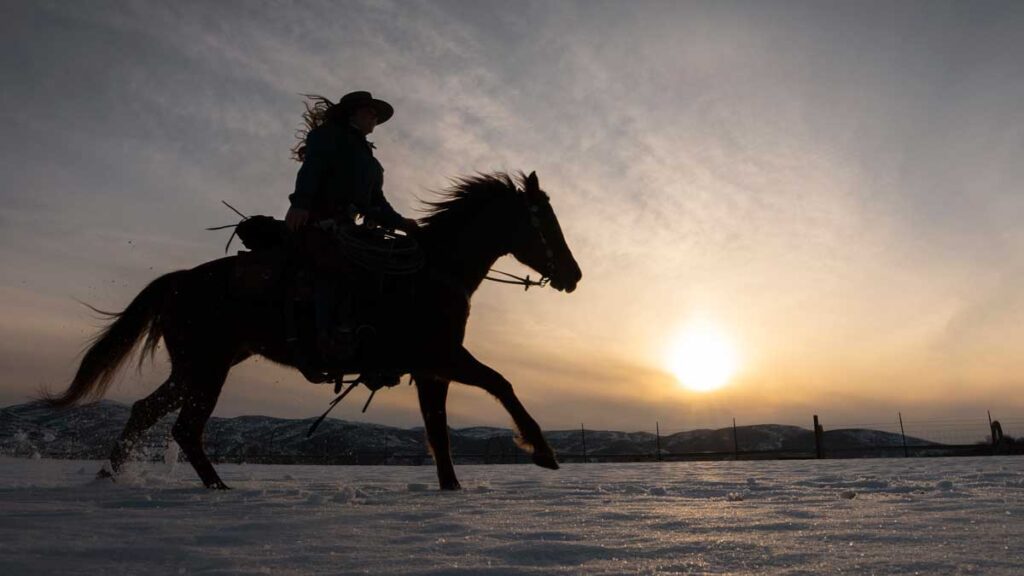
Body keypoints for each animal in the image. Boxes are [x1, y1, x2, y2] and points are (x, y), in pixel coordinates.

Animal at [46, 170, 585, 487]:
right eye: (545, 221)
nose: (574, 275)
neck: (432, 273)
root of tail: (180, 280)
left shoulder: (432, 370)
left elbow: (440, 433)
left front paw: (452, 488)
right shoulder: (443, 357)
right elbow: (501, 384)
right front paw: (542, 450)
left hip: (196, 368)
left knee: (145, 411)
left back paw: (109, 475)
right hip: (207, 369)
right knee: (184, 428)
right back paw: (218, 487)